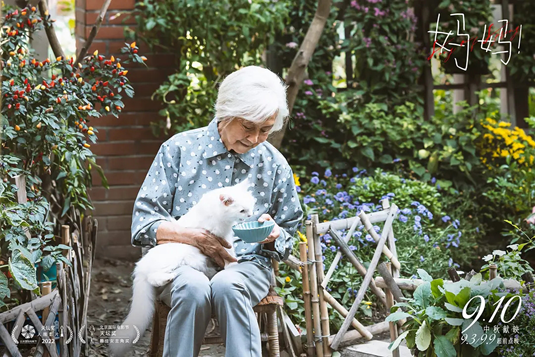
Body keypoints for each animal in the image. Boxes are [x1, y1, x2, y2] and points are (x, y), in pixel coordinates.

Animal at [109, 179, 255, 354]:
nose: (250, 215)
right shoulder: (221, 238)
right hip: (176, 259)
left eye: (251, 206)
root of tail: (140, 267)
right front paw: (233, 264)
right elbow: (230, 253)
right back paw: (168, 277)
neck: (216, 212)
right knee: (153, 277)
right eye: (242, 210)